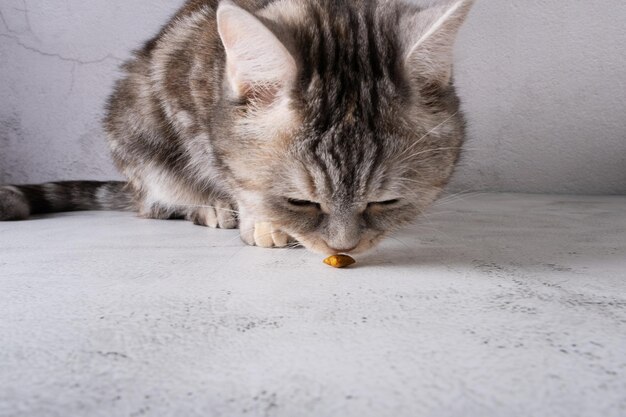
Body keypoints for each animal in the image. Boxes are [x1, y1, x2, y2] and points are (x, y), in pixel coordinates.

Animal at [0, 0, 470, 255]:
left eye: (385, 201)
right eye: (300, 202)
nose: (343, 247)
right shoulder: (189, 98)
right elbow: (227, 170)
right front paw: (260, 220)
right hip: (134, 129)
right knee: (155, 202)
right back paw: (210, 207)